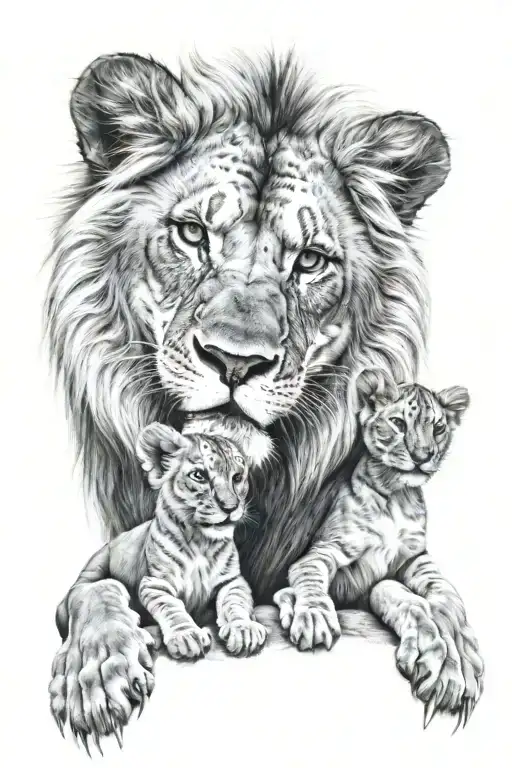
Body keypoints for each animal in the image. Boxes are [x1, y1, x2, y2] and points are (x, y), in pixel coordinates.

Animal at [46, 50, 483, 749]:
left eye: (310, 261)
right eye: (192, 234)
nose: (236, 361)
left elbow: (430, 592)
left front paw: (452, 651)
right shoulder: (95, 577)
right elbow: (100, 595)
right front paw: (96, 677)